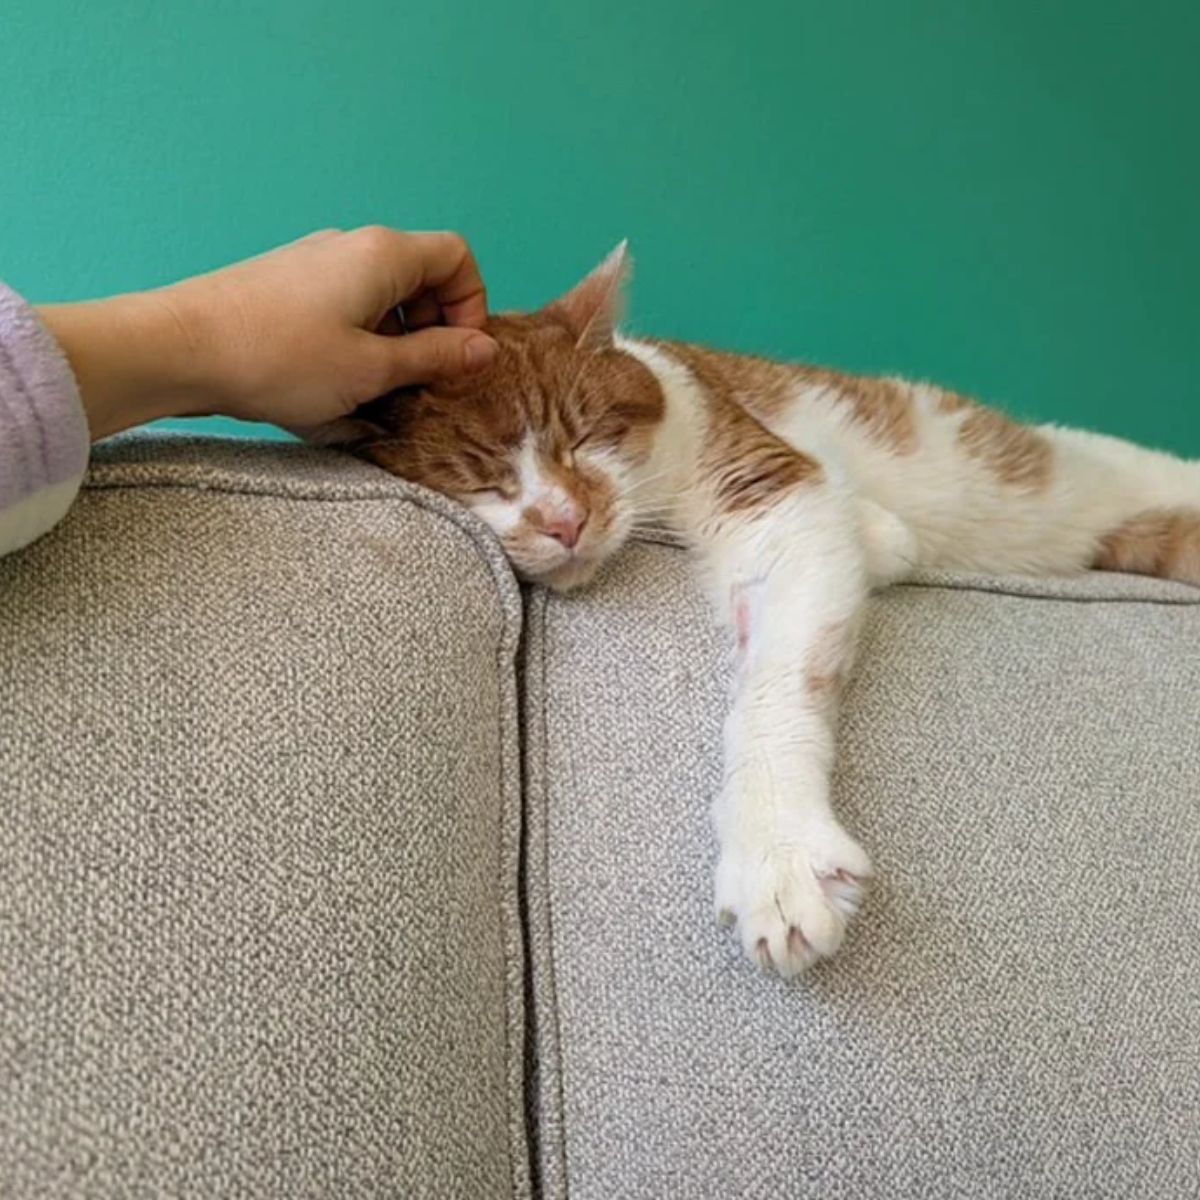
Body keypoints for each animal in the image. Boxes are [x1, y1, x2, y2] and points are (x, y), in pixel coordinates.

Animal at [307, 241, 1200, 974]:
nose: (566, 520)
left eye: (585, 434)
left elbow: (777, 689)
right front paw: (885, 536)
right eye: (480, 478)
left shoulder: (771, 492)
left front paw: (778, 855)